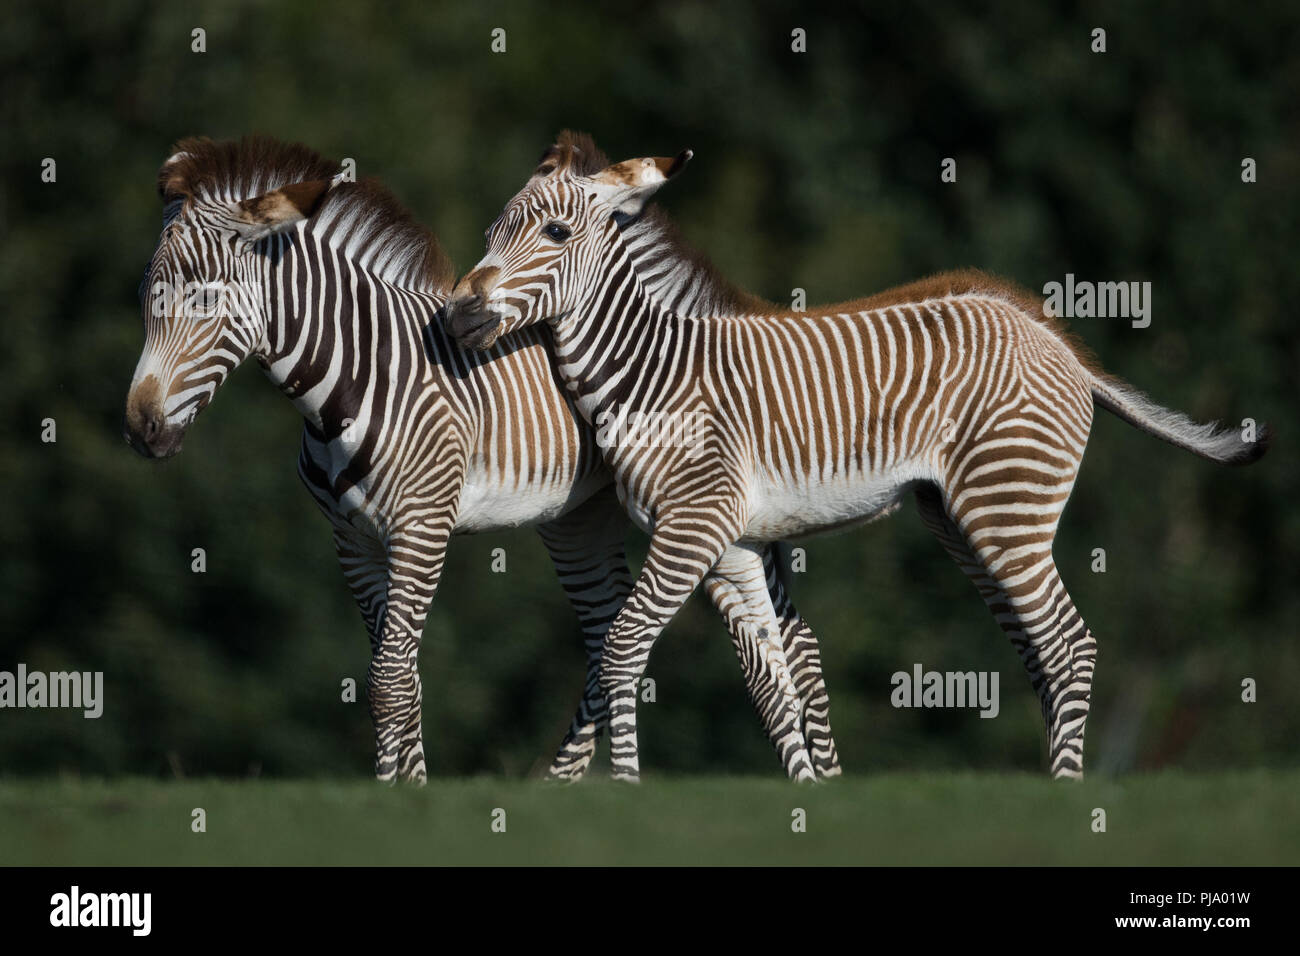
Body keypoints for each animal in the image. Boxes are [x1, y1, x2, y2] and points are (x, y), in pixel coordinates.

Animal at [119, 140, 832, 785]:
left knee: (793, 643)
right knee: (612, 637)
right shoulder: (354, 543)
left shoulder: (422, 528)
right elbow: (398, 673)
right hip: (581, 518)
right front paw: (402, 789)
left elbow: (389, 678)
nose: (139, 428)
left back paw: (820, 779)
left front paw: (402, 799)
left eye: (205, 299)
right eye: (147, 294)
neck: (350, 384)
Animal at [444, 145, 1268, 780]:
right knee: (1042, 649)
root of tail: (1055, 342)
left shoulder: (693, 524)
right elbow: (770, 678)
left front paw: (626, 790)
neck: (649, 374)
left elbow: (622, 647)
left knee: (1069, 645)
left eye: (555, 232)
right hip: (962, 518)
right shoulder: (733, 542)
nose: (458, 311)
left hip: (1006, 504)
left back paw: (1065, 798)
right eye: (490, 232)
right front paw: (810, 798)